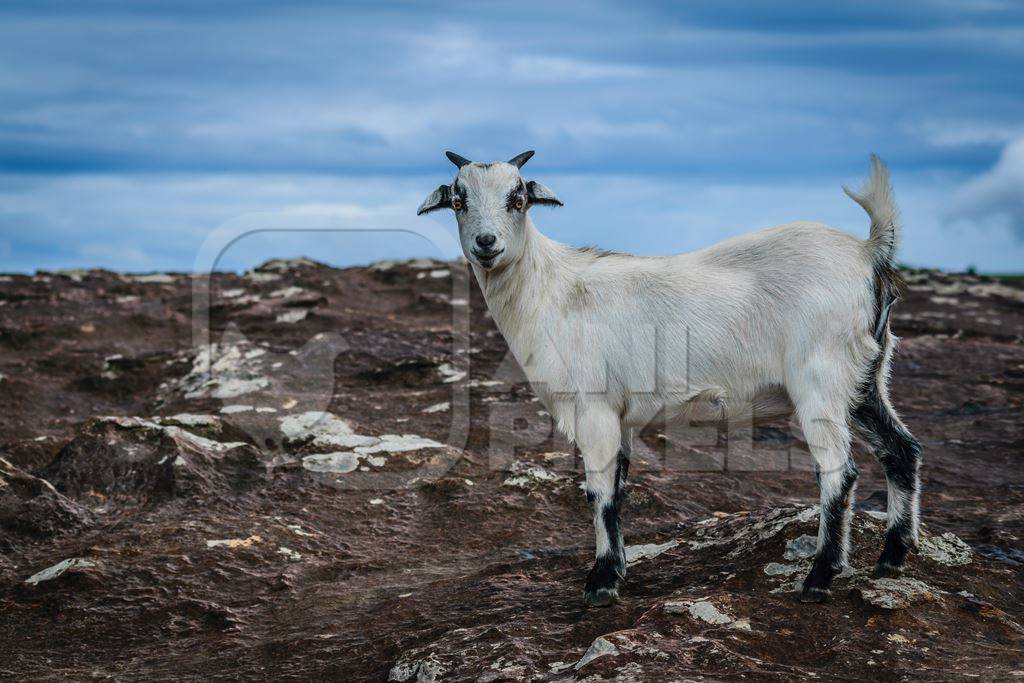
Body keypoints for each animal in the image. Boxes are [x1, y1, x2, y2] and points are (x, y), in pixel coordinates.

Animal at [415, 152, 921, 606]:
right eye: (458, 200)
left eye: (517, 199)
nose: (486, 243)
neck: (552, 291)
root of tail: (868, 251)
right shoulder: (619, 416)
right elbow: (617, 490)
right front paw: (616, 569)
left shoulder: (593, 407)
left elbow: (599, 493)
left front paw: (601, 582)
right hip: (866, 377)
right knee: (901, 449)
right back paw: (893, 557)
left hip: (820, 379)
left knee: (839, 471)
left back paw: (820, 578)